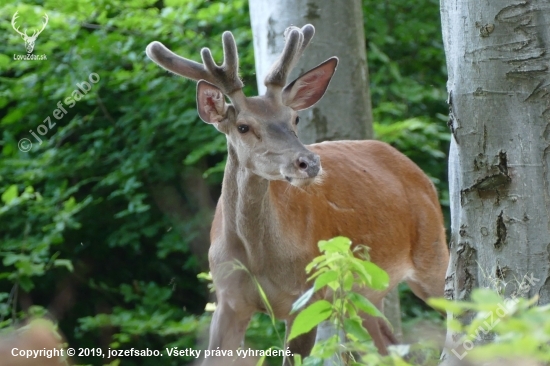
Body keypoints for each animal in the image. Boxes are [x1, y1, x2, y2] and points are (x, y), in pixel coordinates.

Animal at [146, 24, 448, 364]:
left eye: (295, 118)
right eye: (243, 126)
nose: (308, 162)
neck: (257, 258)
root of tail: (419, 174)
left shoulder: (307, 294)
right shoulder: (227, 299)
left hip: (433, 253)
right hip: (363, 292)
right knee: (391, 345)